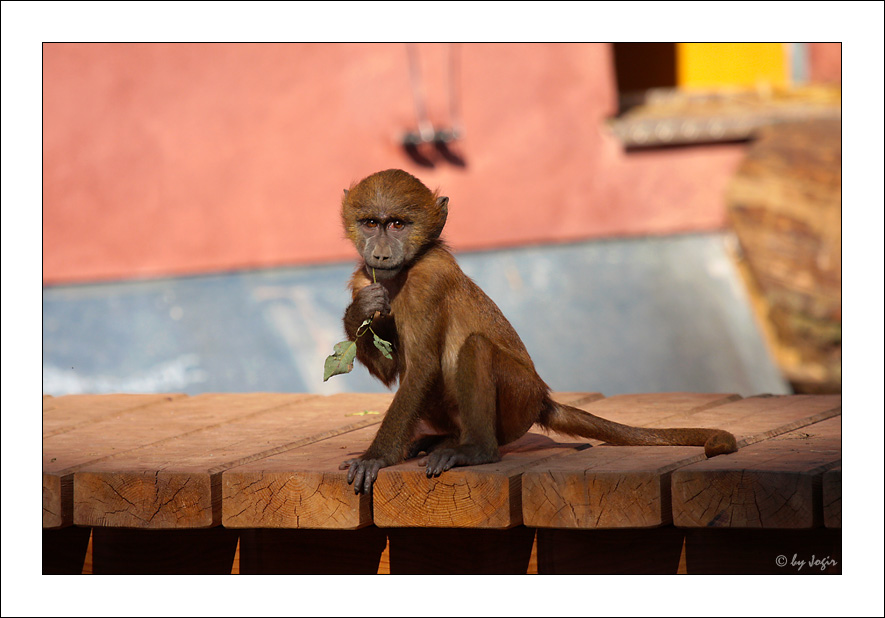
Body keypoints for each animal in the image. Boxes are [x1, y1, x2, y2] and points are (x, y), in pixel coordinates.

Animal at [334, 167, 736, 490]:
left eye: (397, 224)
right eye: (371, 223)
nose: (380, 255)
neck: (404, 270)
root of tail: (542, 397)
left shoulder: (428, 280)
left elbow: (421, 369)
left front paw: (375, 458)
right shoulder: (363, 278)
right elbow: (392, 369)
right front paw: (360, 312)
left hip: (519, 401)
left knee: (475, 348)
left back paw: (475, 451)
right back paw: (443, 440)